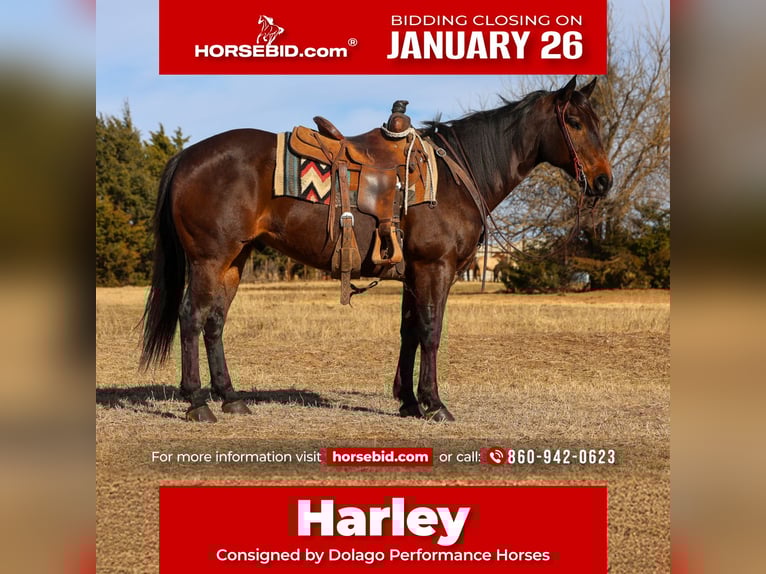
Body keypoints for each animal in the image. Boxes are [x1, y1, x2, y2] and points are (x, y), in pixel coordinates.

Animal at [140, 76, 612, 423]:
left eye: (596, 121)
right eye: (573, 122)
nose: (604, 180)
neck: (457, 175)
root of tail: (186, 156)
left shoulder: (413, 273)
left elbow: (409, 332)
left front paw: (408, 402)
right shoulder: (436, 268)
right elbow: (431, 332)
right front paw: (434, 404)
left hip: (234, 261)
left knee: (215, 322)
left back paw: (230, 397)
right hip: (210, 259)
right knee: (192, 318)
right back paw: (197, 402)